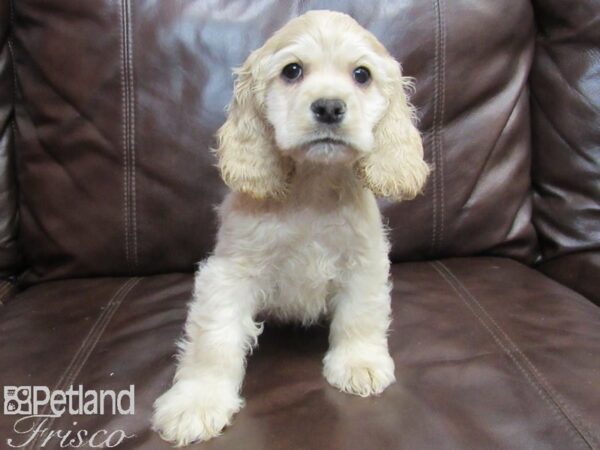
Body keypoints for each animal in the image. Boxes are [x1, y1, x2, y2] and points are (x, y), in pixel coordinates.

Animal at [152, 10, 428, 446]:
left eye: (362, 74)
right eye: (292, 70)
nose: (329, 107)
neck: (312, 186)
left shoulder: (363, 261)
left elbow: (361, 315)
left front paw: (359, 364)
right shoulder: (230, 273)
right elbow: (214, 339)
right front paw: (197, 402)